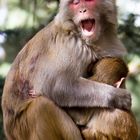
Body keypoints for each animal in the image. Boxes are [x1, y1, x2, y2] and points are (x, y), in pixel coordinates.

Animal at [2, 0, 132, 140]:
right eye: (76, 3)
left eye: (89, 1)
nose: (82, 10)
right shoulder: (70, 47)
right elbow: (58, 86)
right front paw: (117, 96)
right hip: (23, 129)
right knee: (42, 106)